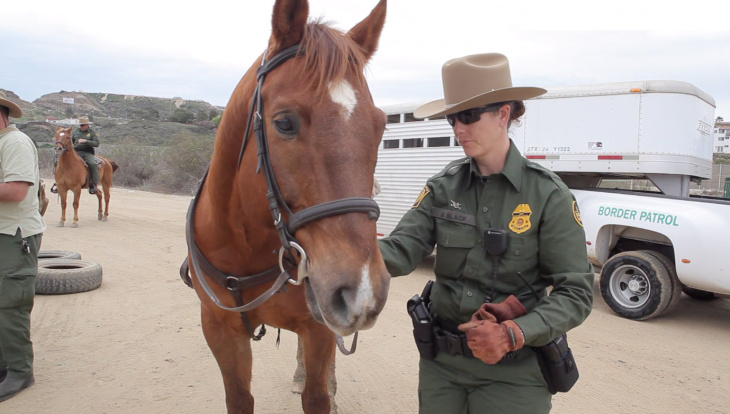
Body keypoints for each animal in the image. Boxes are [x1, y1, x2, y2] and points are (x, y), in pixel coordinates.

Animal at [181, 0, 389, 412]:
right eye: (284, 123)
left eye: (380, 127)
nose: (361, 289)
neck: (245, 245)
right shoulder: (219, 329)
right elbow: (239, 397)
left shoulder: (319, 327)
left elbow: (317, 394)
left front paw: (326, 390)